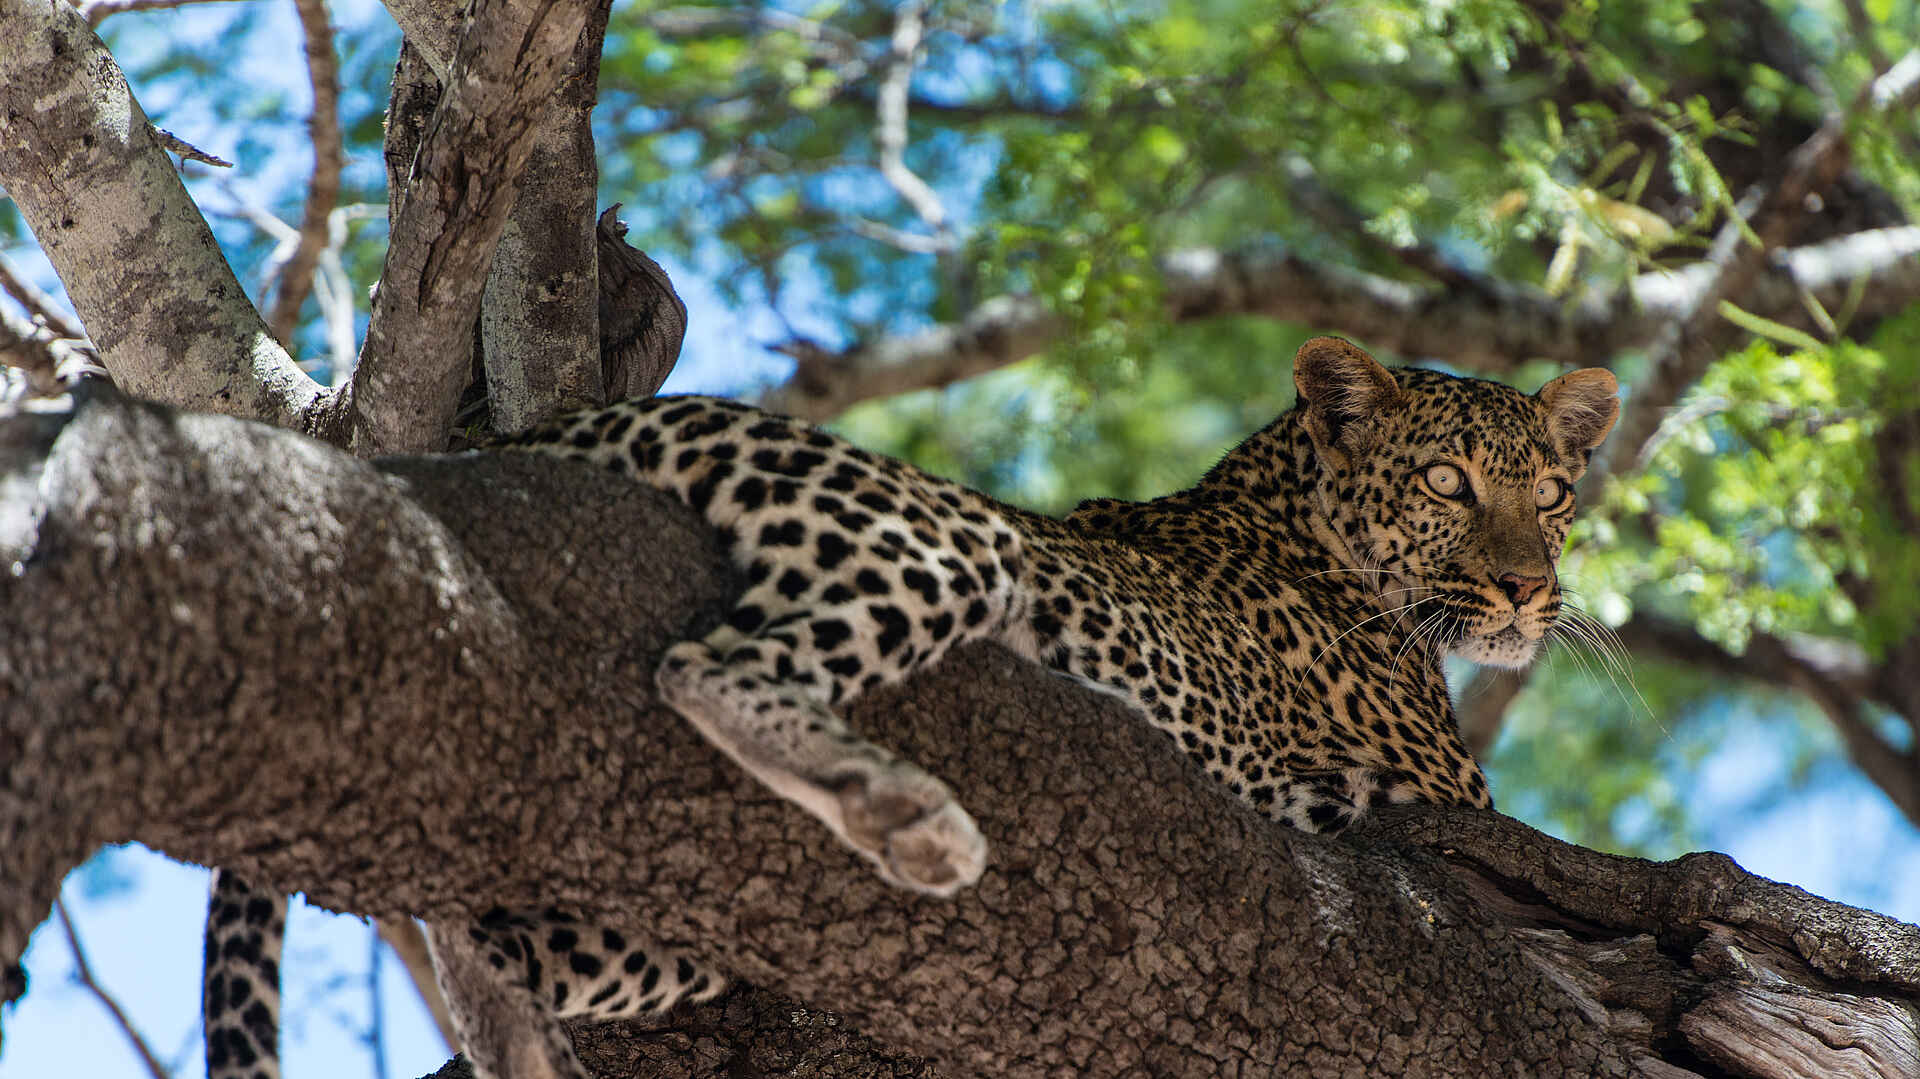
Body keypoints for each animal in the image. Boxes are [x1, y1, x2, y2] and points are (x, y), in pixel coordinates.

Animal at [201, 336, 1618, 1079]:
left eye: (1551, 491)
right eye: (1445, 480)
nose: (1525, 587)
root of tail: (544, 430)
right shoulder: (1454, 795)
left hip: (665, 929)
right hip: (939, 543)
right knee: (710, 667)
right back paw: (911, 814)